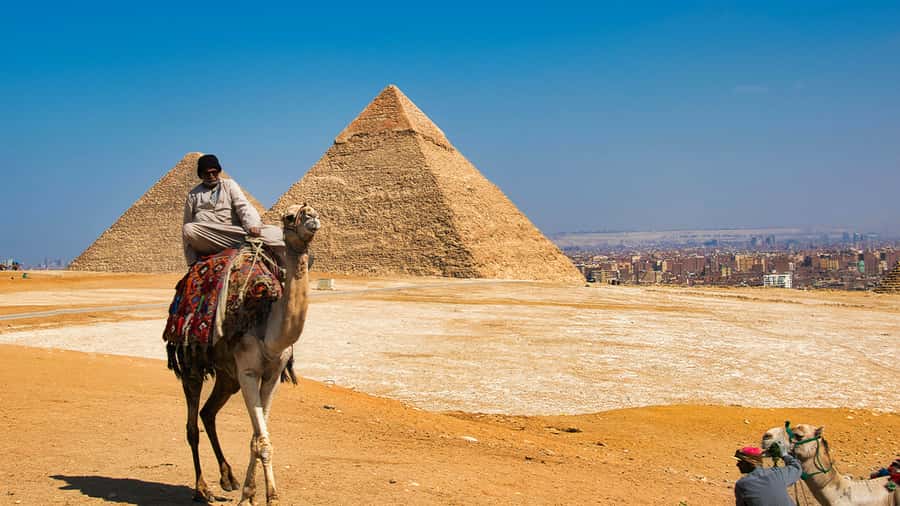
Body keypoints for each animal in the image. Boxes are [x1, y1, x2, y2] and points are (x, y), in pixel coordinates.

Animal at [175, 203, 319, 506]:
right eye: (289, 216)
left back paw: (227, 478)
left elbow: (256, 436)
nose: (312, 217)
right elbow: (262, 440)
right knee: (192, 425)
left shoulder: (273, 375)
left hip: (227, 377)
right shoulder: (249, 372)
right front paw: (269, 497)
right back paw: (202, 488)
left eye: (312, 209)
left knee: (208, 413)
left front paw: (250, 494)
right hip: (193, 363)